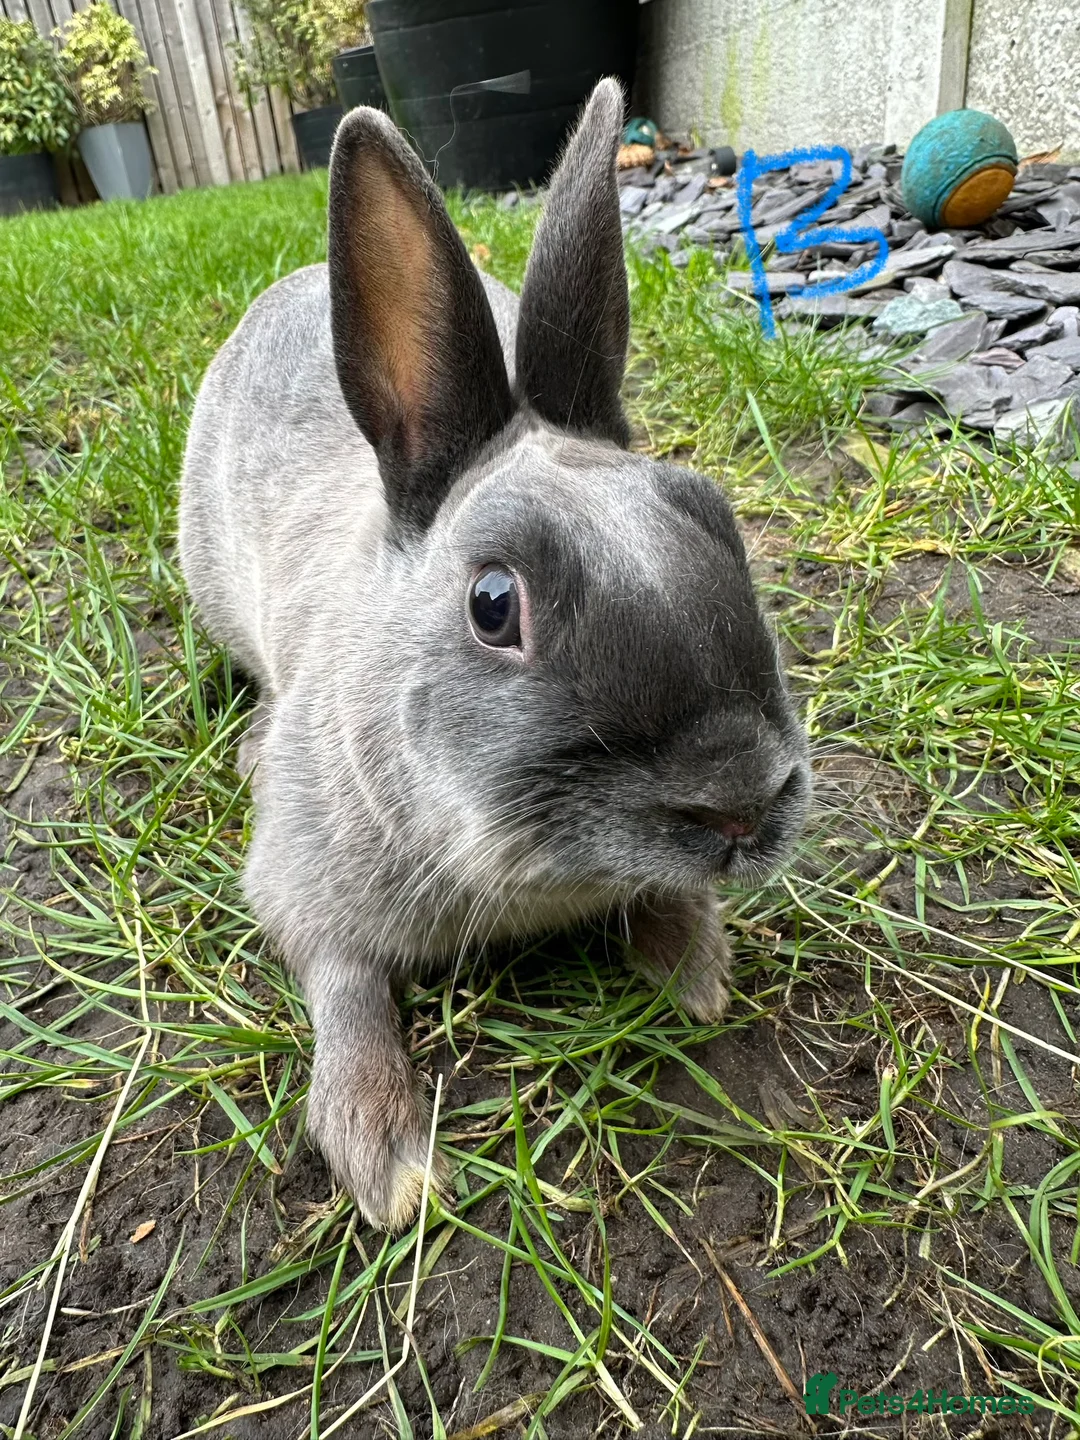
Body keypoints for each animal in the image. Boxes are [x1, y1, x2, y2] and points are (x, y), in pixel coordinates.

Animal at [178, 78, 811, 1232]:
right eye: (492, 605)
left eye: (716, 519)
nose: (742, 800)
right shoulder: (305, 893)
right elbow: (343, 986)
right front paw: (386, 1157)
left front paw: (694, 968)